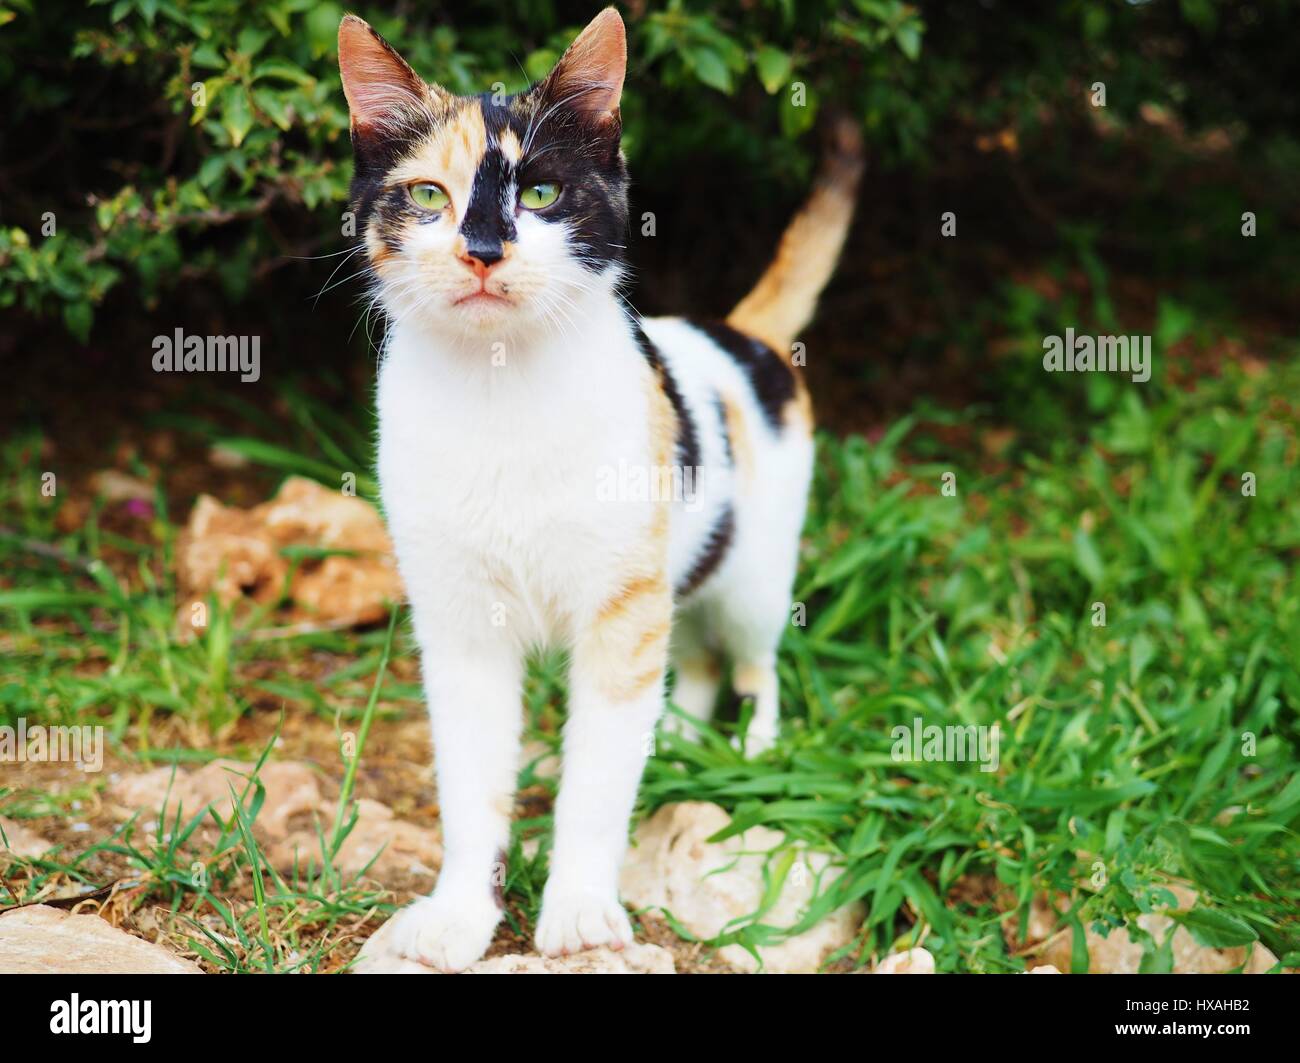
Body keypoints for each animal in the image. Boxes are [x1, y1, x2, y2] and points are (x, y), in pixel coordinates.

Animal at [340, 8, 857, 966]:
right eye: (429, 196)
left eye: (541, 194)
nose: (481, 249)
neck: (500, 395)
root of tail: (739, 331)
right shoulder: (458, 622)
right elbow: (471, 783)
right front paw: (460, 915)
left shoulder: (621, 609)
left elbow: (597, 782)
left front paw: (579, 912)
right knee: (696, 661)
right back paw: (681, 740)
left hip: (753, 577)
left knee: (753, 657)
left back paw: (753, 745)